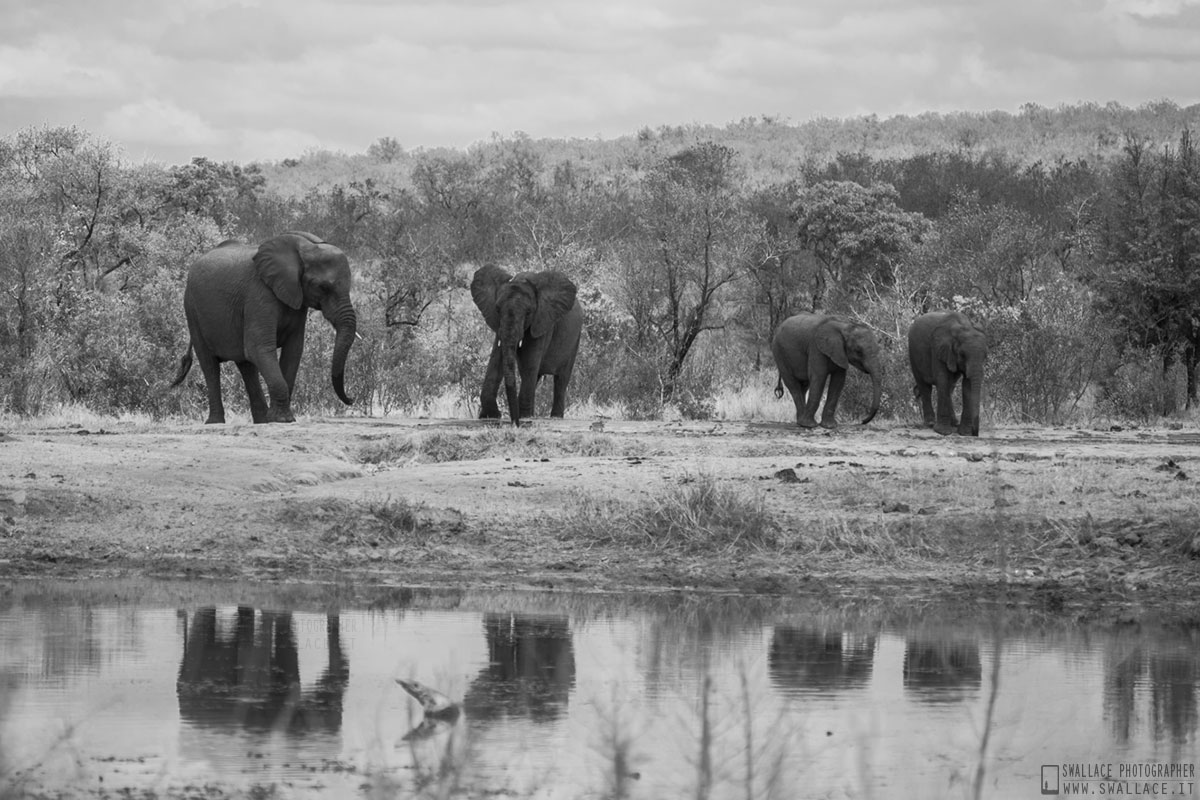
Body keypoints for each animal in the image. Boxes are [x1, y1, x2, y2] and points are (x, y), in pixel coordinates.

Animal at [171, 230, 355, 424]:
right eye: (323, 287)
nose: (351, 399)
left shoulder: (297, 300)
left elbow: (293, 351)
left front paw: (280, 418)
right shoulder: (259, 294)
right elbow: (258, 348)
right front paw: (281, 419)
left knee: (246, 366)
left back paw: (261, 420)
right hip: (192, 309)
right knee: (210, 365)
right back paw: (215, 422)